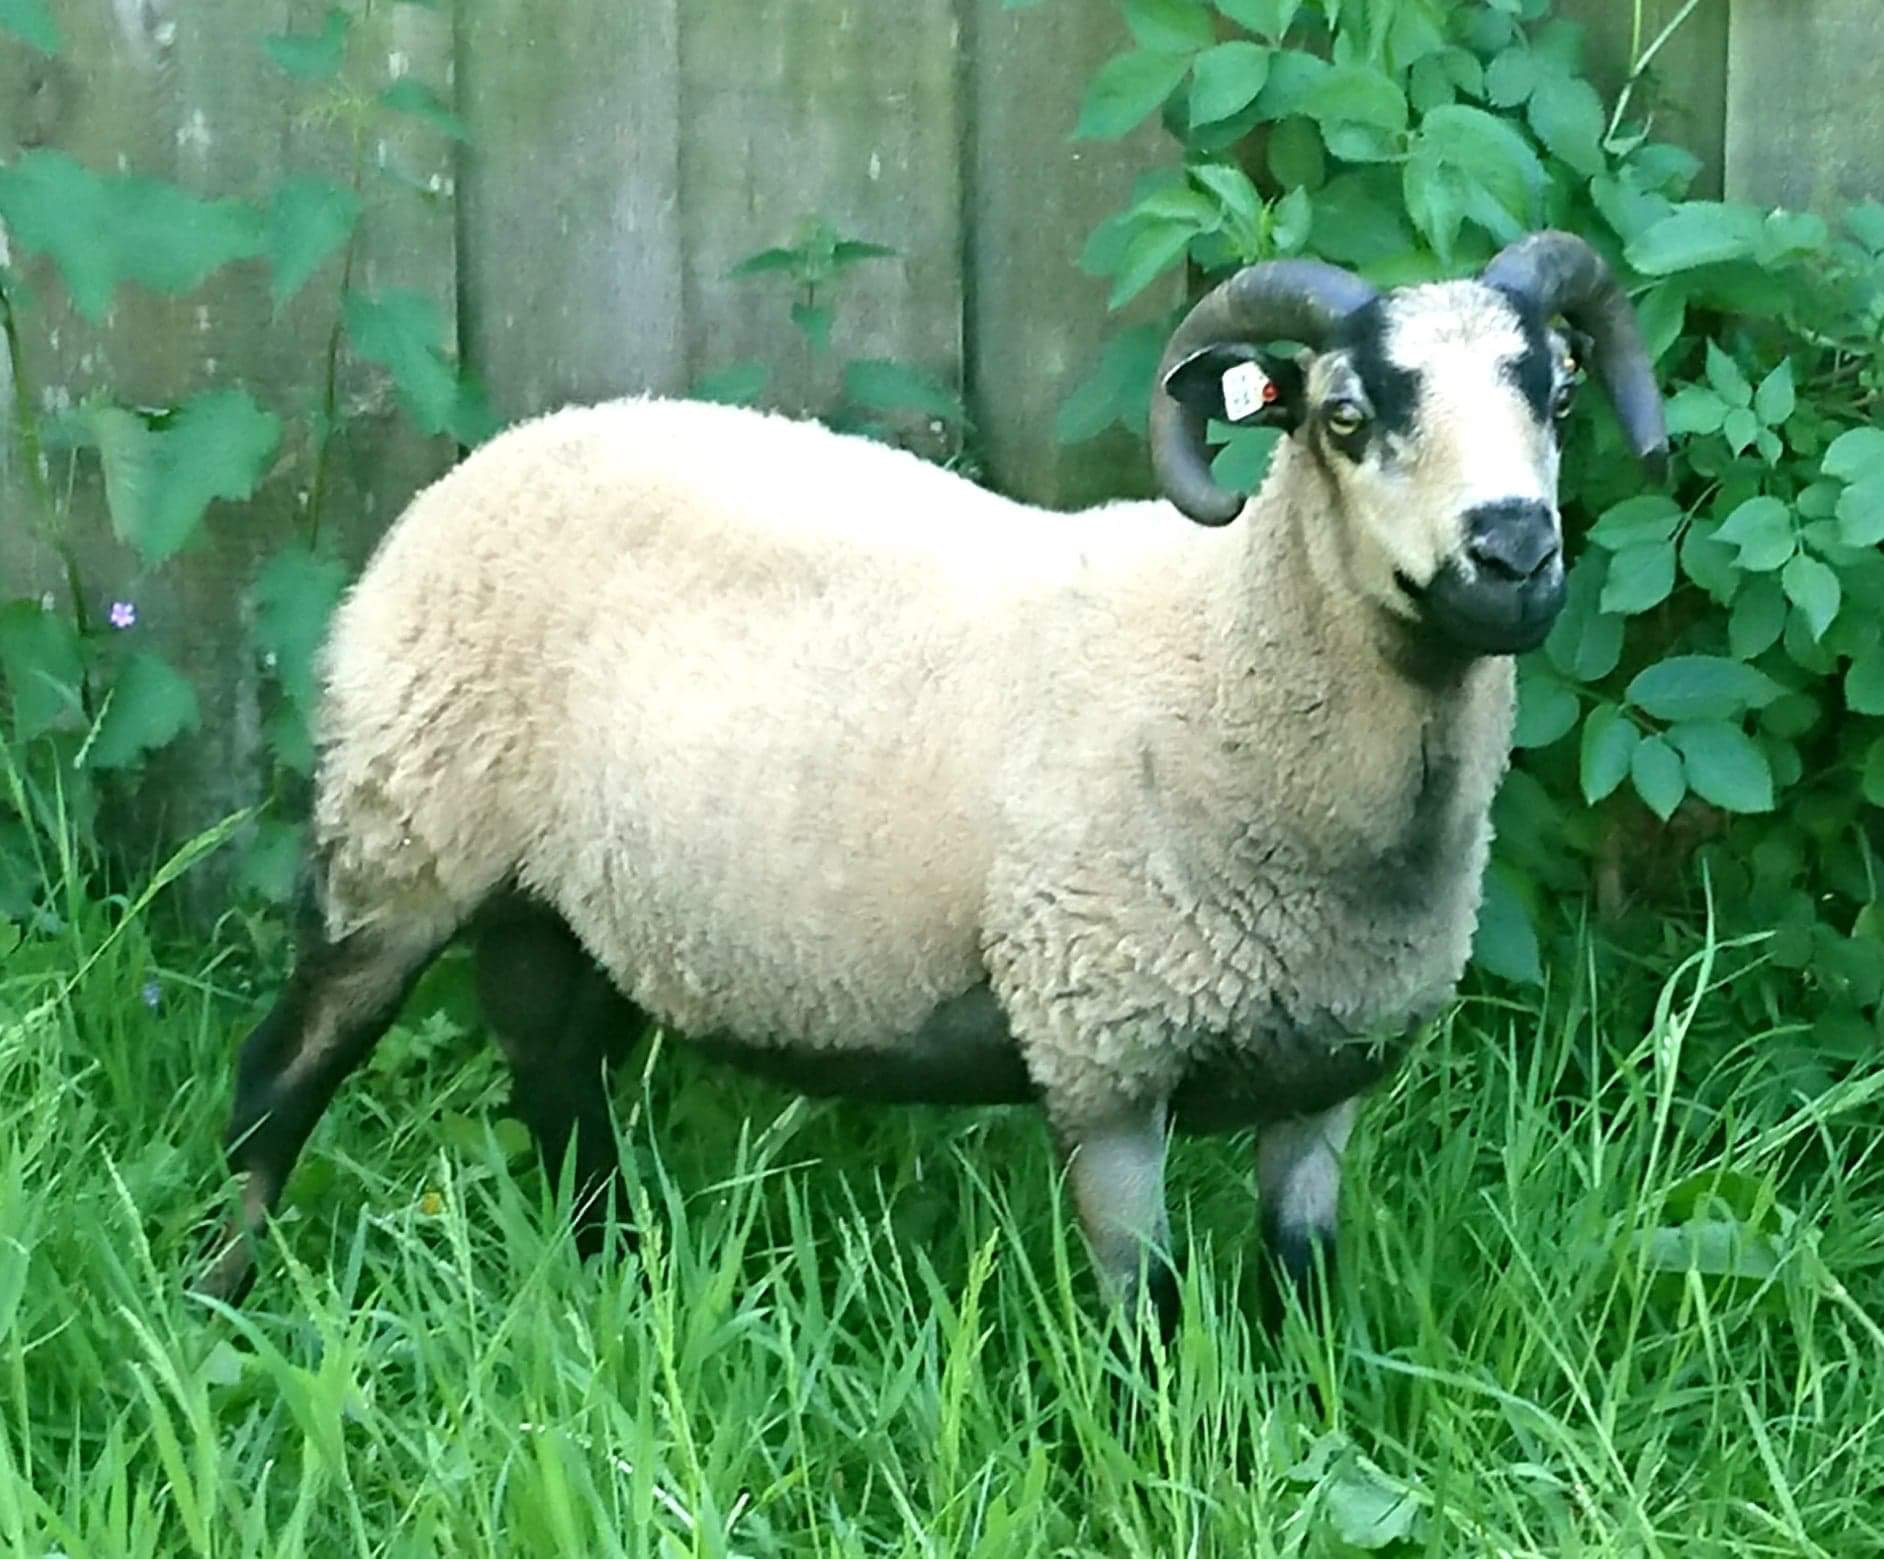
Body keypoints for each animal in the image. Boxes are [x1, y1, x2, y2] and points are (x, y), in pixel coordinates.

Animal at [200, 231, 1666, 1332]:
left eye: (1557, 394)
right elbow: (1145, 1319)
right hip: (398, 834)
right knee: (280, 1078)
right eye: (1347, 417)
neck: (1224, 655)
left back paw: (613, 1279)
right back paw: (217, 1300)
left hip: (556, 900)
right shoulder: (1104, 1058)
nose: (1513, 553)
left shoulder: (1328, 1079)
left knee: (557, 1085)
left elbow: (1302, 1297)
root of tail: (488, 461)